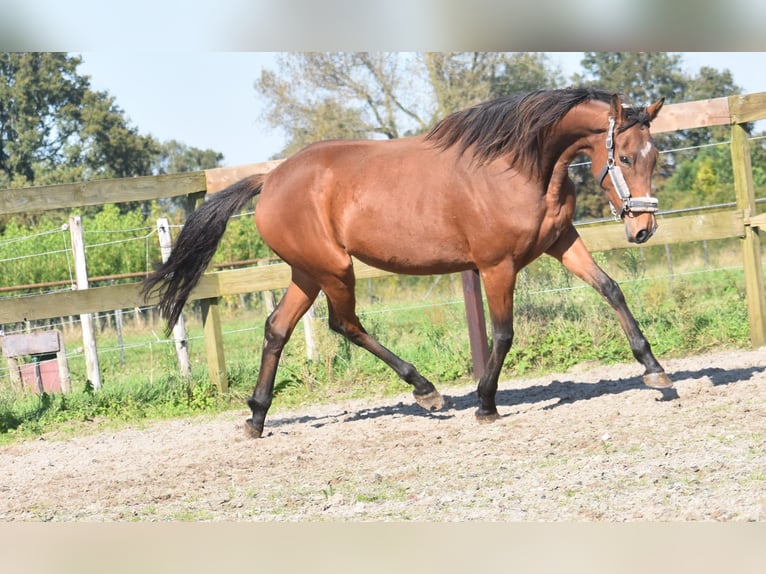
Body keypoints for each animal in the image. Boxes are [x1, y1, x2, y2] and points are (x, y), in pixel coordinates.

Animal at [144, 88, 672, 440]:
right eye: (626, 157)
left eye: (655, 155)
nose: (643, 229)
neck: (519, 168)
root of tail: (269, 179)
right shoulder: (496, 265)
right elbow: (503, 333)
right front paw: (485, 403)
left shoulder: (561, 241)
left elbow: (610, 289)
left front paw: (655, 370)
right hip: (334, 269)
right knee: (344, 323)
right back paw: (426, 390)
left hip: (307, 273)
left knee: (278, 327)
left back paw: (256, 416)